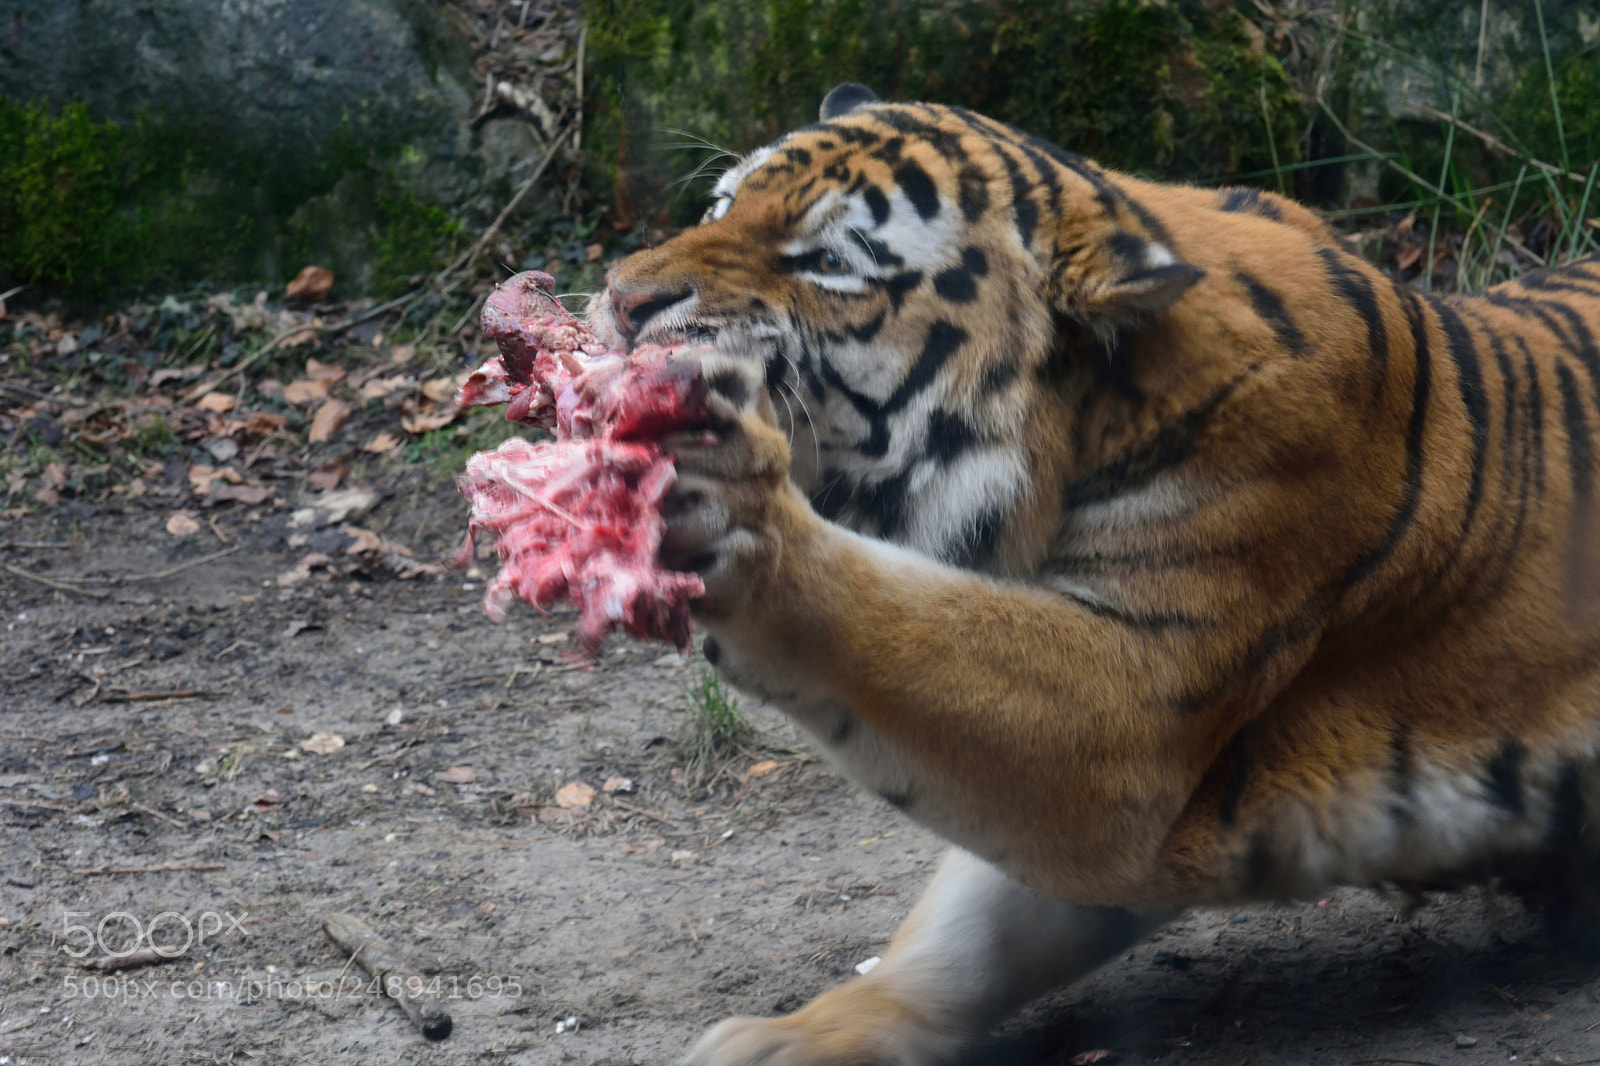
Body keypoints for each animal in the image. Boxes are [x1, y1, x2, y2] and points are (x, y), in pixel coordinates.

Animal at [583, 82, 1600, 1065]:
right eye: (721, 203)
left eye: (829, 260)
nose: (621, 298)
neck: (1085, 429)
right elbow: (972, 931)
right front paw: (794, 1037)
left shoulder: (1137, 705)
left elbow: (885, 618)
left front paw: (734, 508)